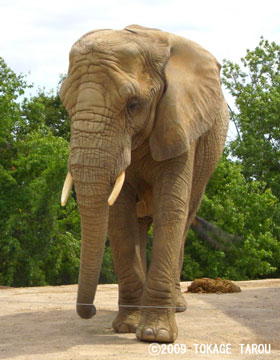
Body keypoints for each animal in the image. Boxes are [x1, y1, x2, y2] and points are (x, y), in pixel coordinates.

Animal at [60, 23, 229, 342]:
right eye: (65, 104)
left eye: (133, 105)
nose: (89, 311)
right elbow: (119, 216)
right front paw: (127, 326)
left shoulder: (180, 122)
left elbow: (170, 209)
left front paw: (155, 335)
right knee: (138, 225)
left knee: (185, 218)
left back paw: (177, 307)